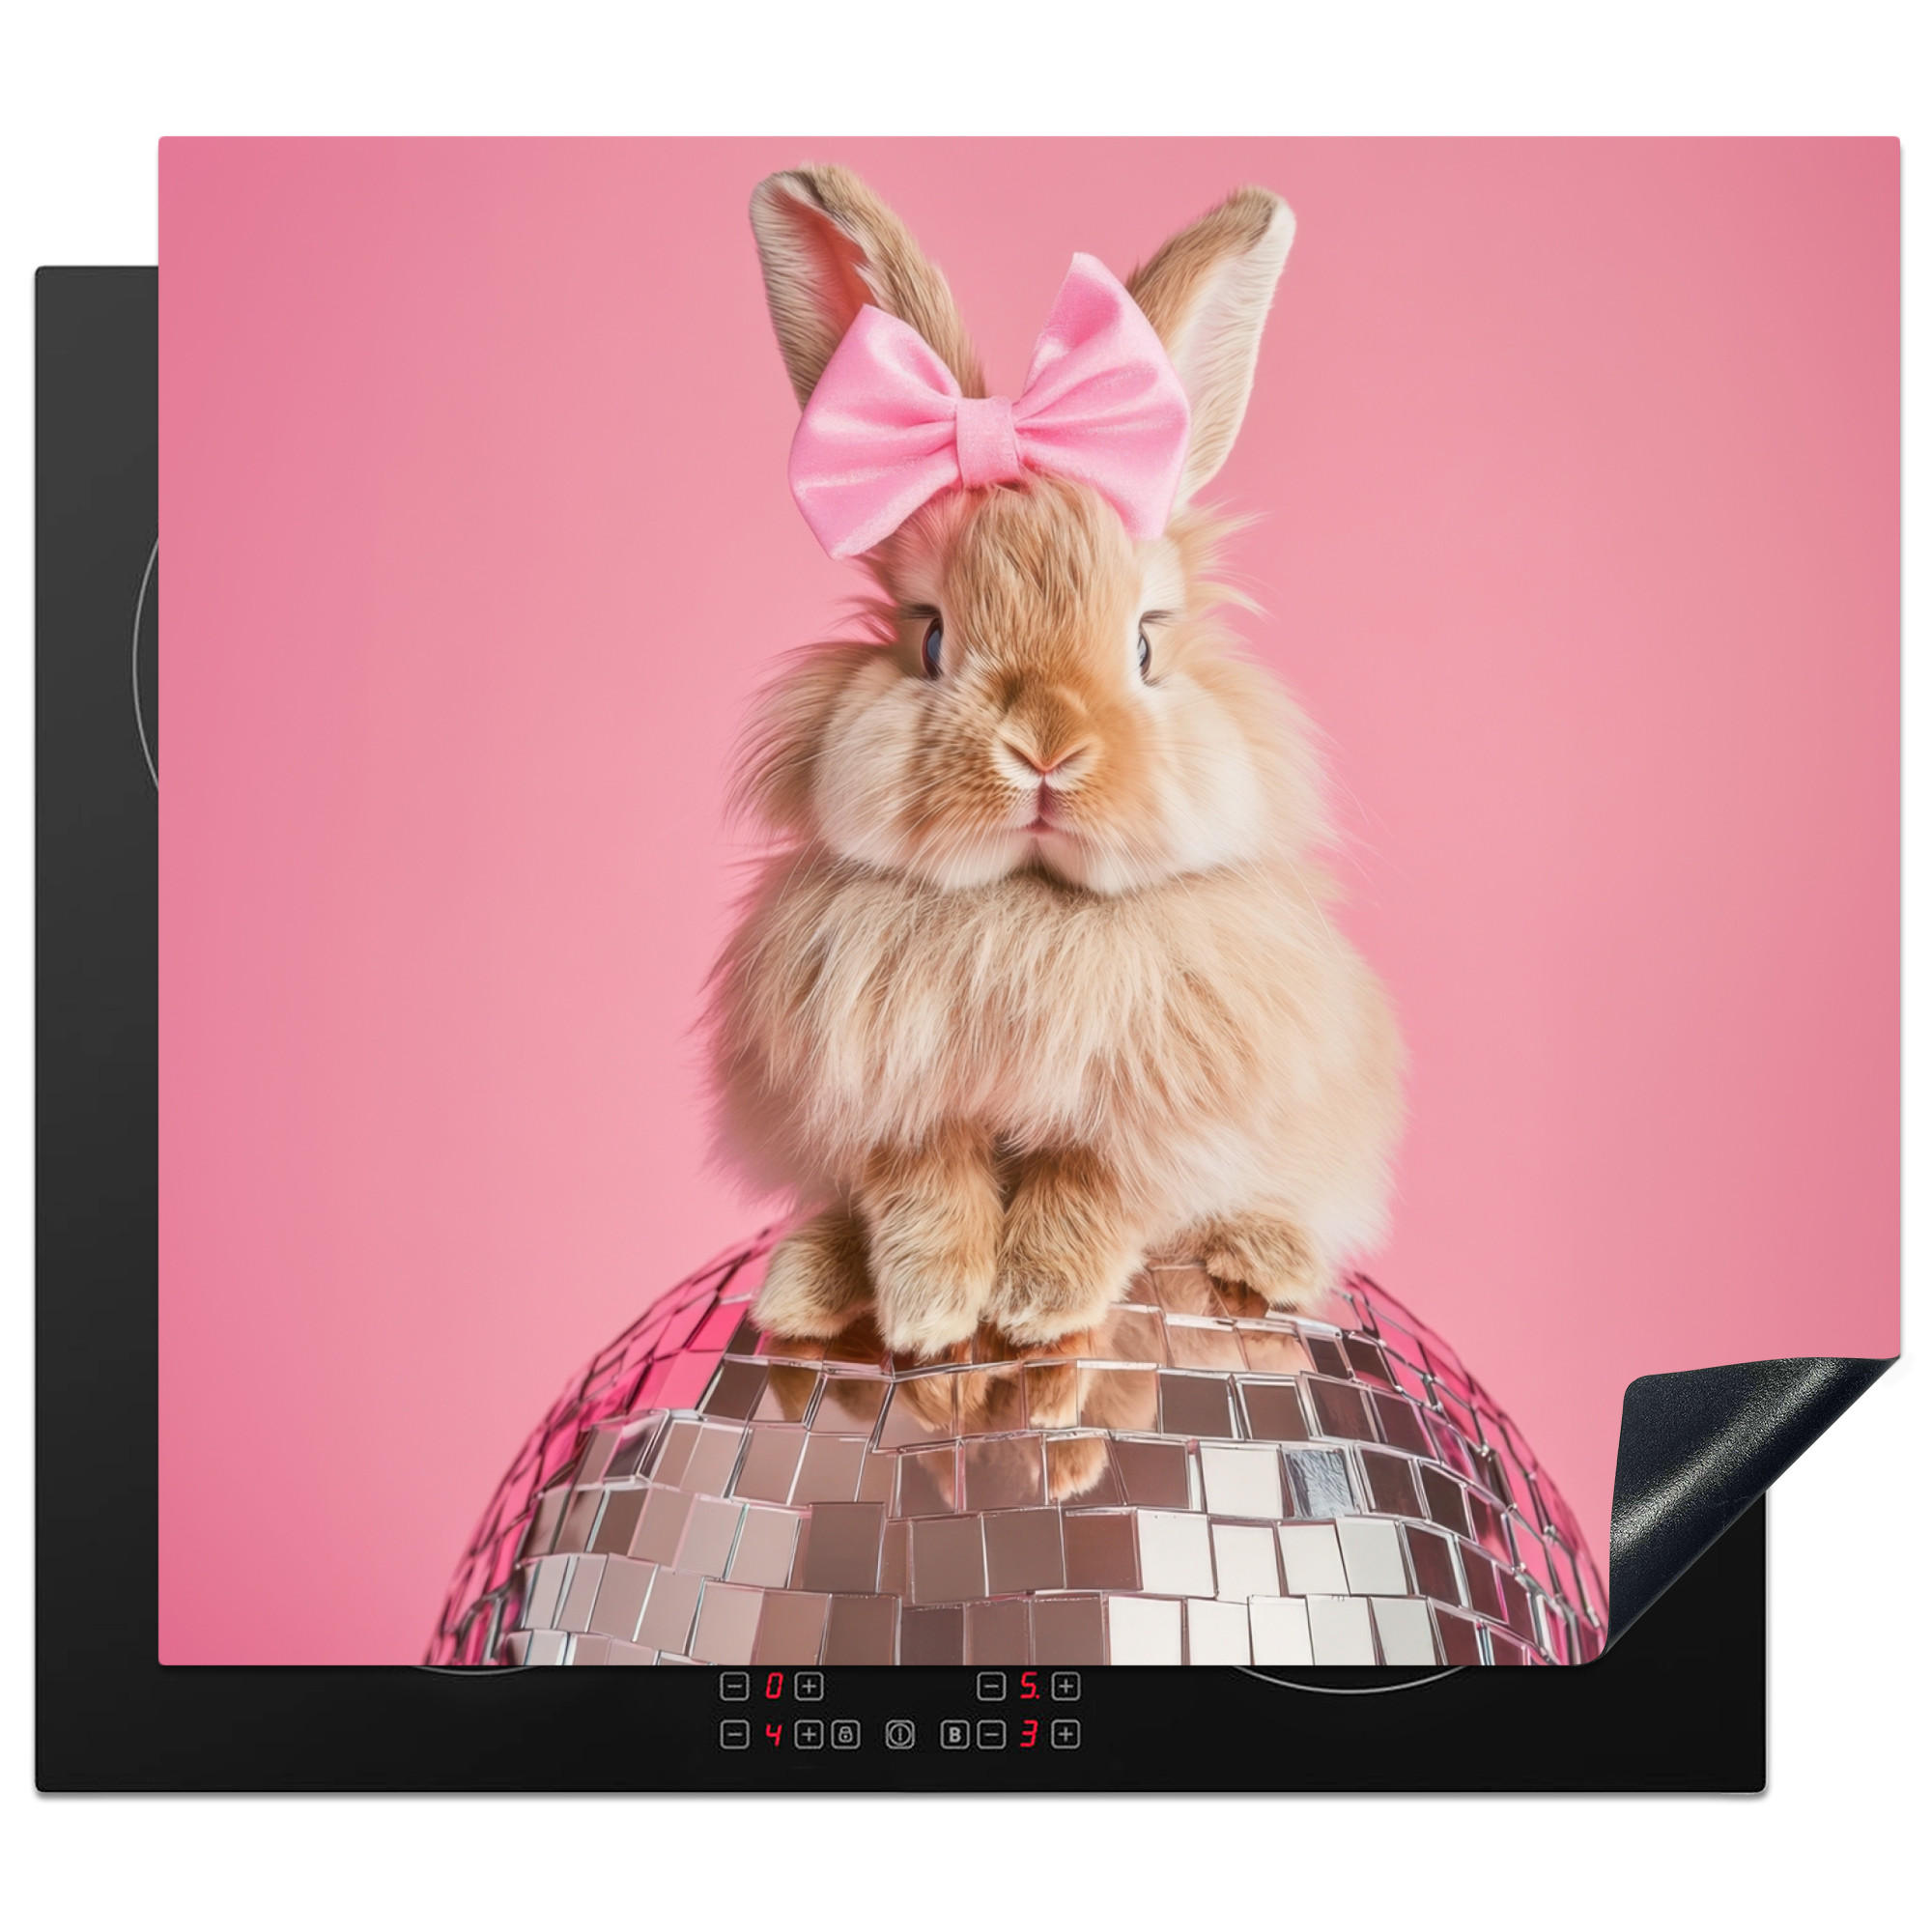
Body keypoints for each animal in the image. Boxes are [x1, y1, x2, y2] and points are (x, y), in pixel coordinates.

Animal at [707, 164, 1403, 1358]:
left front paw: (1035, 1305)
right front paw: (932, 1310)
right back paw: (803, 1287)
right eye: (929, 638)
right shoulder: (893, 1098)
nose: (1046, 745)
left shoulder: (1155, 1110)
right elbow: (923, 1188)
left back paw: (1261, 1261)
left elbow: (1090, 1187)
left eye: (1145, 643)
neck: (1026, 908)